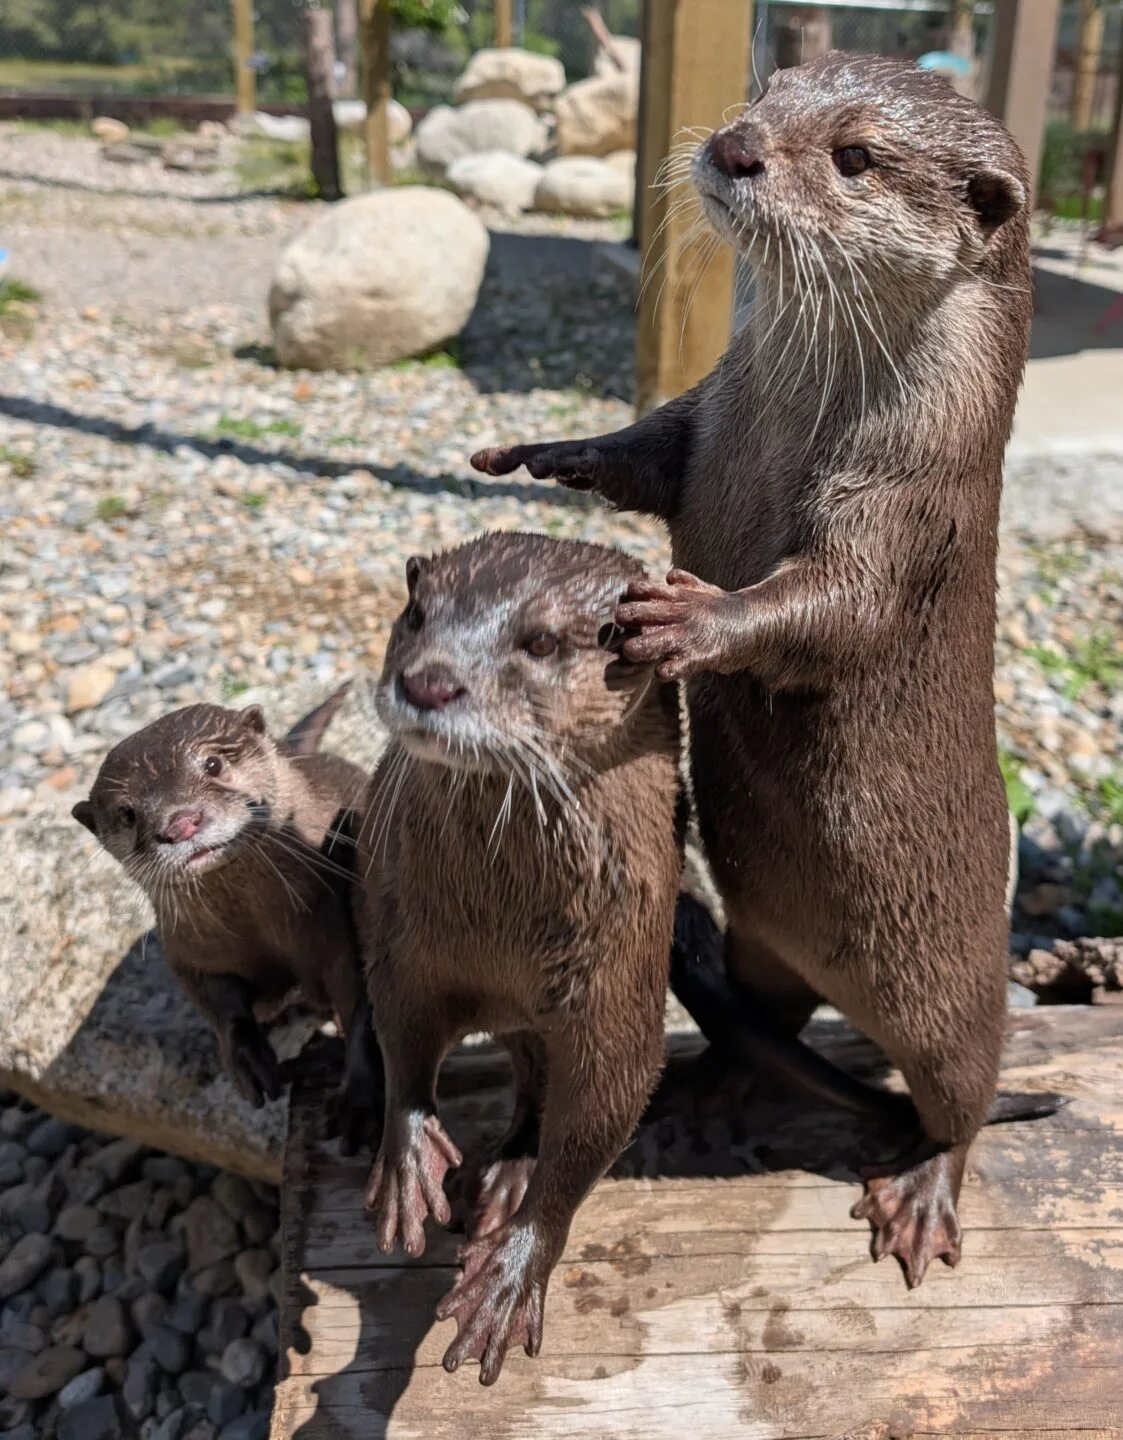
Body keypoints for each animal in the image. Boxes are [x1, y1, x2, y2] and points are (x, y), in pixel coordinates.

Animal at [73, 685, 381, 1151]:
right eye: (127, 813)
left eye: (213, 764)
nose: (181, 822)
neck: (267, 929)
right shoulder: (190, 950)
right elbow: (218, 1005)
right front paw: (247, 1058)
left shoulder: (338, 924)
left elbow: (362, 999)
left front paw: (360, 1099)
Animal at [355, 532, 685, 1385]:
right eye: (416, 613)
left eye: (539, 642)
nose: (428, 681)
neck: (500, 932)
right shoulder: (402, 939)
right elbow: (402, 1036)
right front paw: (409, 1161)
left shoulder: (621, 979)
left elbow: (605, 1104)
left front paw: (510, 1271)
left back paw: (510, 1180)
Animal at [471, 54, 1045, 1287]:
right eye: (768, 90)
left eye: (856, 155)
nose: (735, 147)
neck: (796, 419)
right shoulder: (706, 416)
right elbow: (646, 455)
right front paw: (551, 449)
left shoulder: (912, 499)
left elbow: (831, 606)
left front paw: (689, 617)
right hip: (762, 941)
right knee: (768, 1021)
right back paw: (700, 1082)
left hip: (959, 992)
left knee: (965, 1096)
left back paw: (923, 1192)